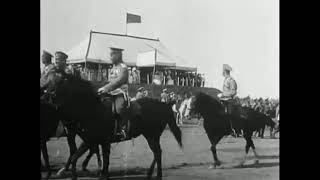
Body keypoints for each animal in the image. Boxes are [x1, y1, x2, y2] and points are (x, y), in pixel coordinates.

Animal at [50, 74, 181, 179]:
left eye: (61, 83)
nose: (50, 93)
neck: (93, 109)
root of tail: (163, 104)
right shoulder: (93, 141)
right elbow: (77, 157)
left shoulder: (95, 141)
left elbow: (100, 159)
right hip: (151, 136)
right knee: (156, 153)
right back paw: (150, 174)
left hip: (152, 136)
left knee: (157, 153)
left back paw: (158, 175)